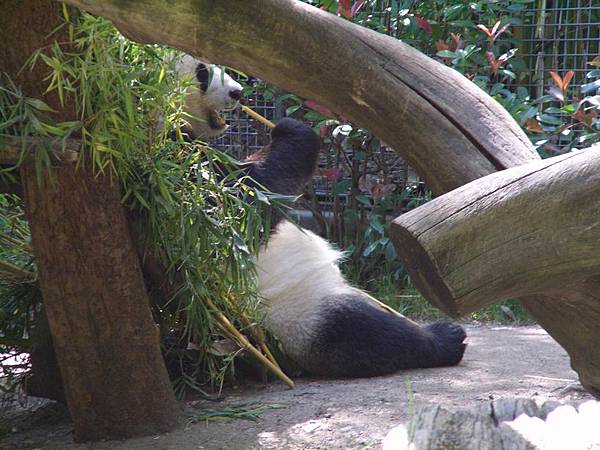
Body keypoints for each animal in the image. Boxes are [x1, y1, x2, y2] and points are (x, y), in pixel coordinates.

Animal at [176, 58, 466, 378]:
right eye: (202, 71)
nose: (237, 92)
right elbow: (242, 206)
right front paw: (292, 129)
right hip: (295, 313)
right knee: (360, 335)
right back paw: (445, 338)